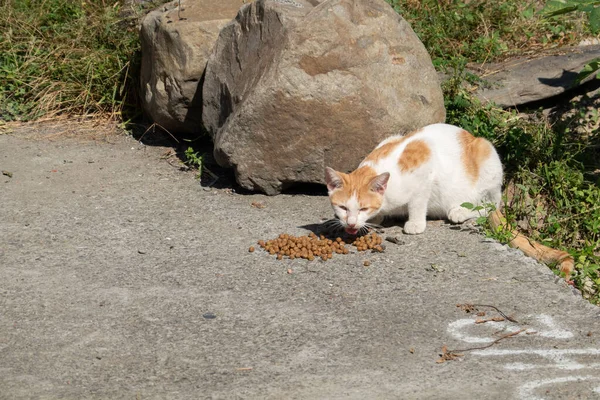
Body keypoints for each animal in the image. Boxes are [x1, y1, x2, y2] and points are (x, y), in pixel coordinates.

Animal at [326, 122, 504, 234]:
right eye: (343, 208)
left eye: (363, 208)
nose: (351, 223)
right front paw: (375, 218)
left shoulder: (426, 165)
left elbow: (417, 203)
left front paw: (415, 223)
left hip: (487, 156)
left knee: (491, 206)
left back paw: (460, 211)